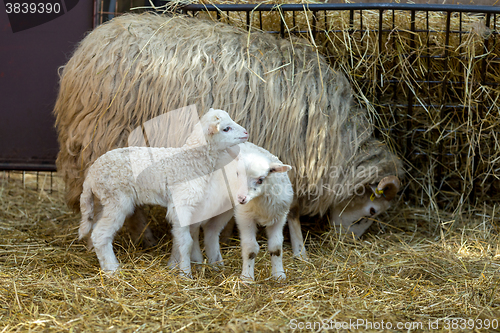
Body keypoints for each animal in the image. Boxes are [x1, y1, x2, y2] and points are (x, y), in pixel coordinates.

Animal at [78, 108, 248, 274]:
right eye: (226, 128)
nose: (246, 133)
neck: (191, 160)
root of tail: (91, 175)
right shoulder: (181, 203)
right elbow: (186, 242)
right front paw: (185, 273)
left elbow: (179, 238)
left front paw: (173, 265)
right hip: (116, 199)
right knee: (100, 234)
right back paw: (113, 270)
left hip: (104, 201)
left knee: (94, 228)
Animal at [188, 143, 292, 280]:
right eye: (237, 174)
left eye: (260, 180)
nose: (241, 198)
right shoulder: (245, 216)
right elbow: (250, 248)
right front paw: (247, 277)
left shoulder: (279, 217)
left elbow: (276, 247)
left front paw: (279, 274)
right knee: (193, 226)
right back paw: (197, 260)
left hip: (225, 206)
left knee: (211, 230)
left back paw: (216, 264)